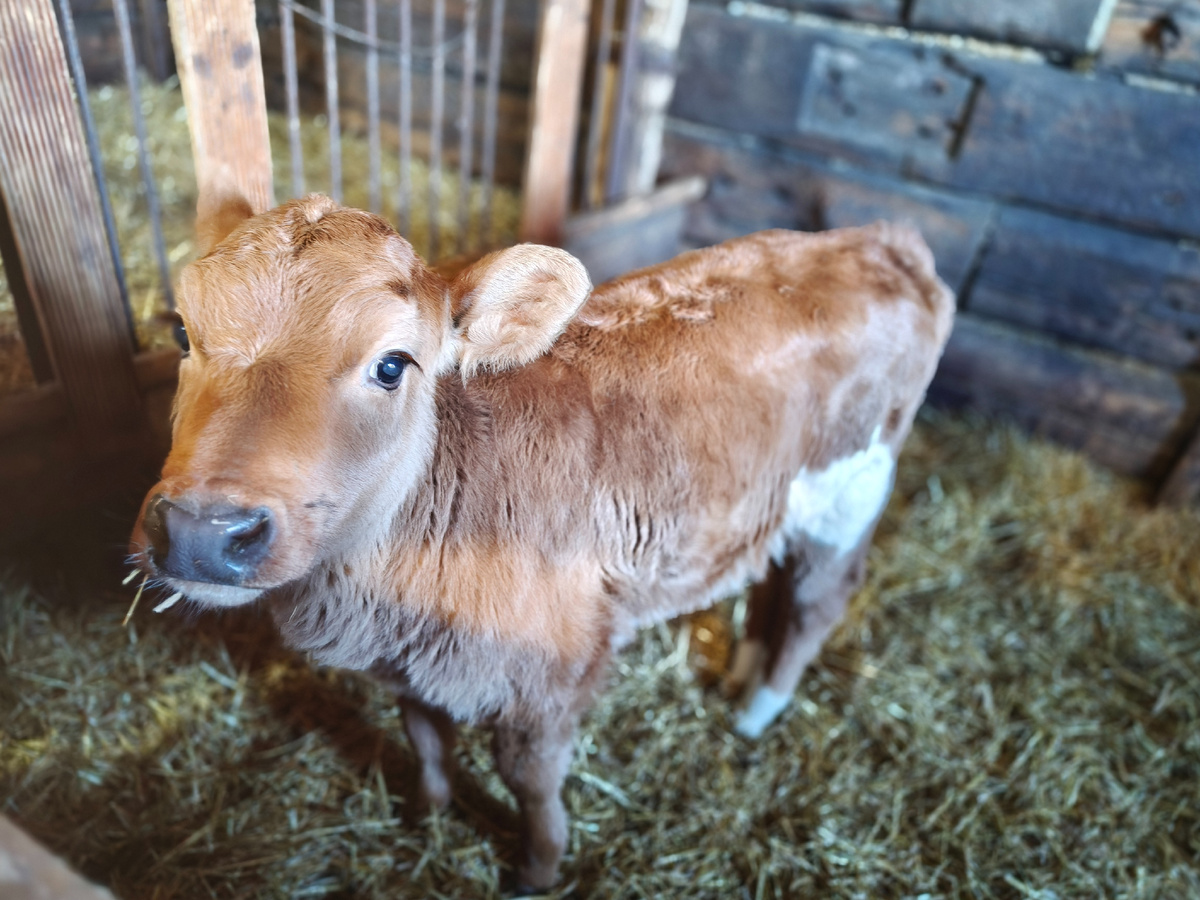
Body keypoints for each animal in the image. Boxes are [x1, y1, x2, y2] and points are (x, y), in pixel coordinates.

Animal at [129, 191, 953, 889]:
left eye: (392, 364)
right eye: (182, 331)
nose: (204, 530)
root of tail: (881, 241)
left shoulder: (552, 667)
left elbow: (528, 779)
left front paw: (538, 869)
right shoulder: (415, 653)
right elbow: (423, 735)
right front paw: (427, 814)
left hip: (851, 490)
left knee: (818, 599)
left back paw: (756, 710)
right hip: (772, 500)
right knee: (772, 578)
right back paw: (741, 673)